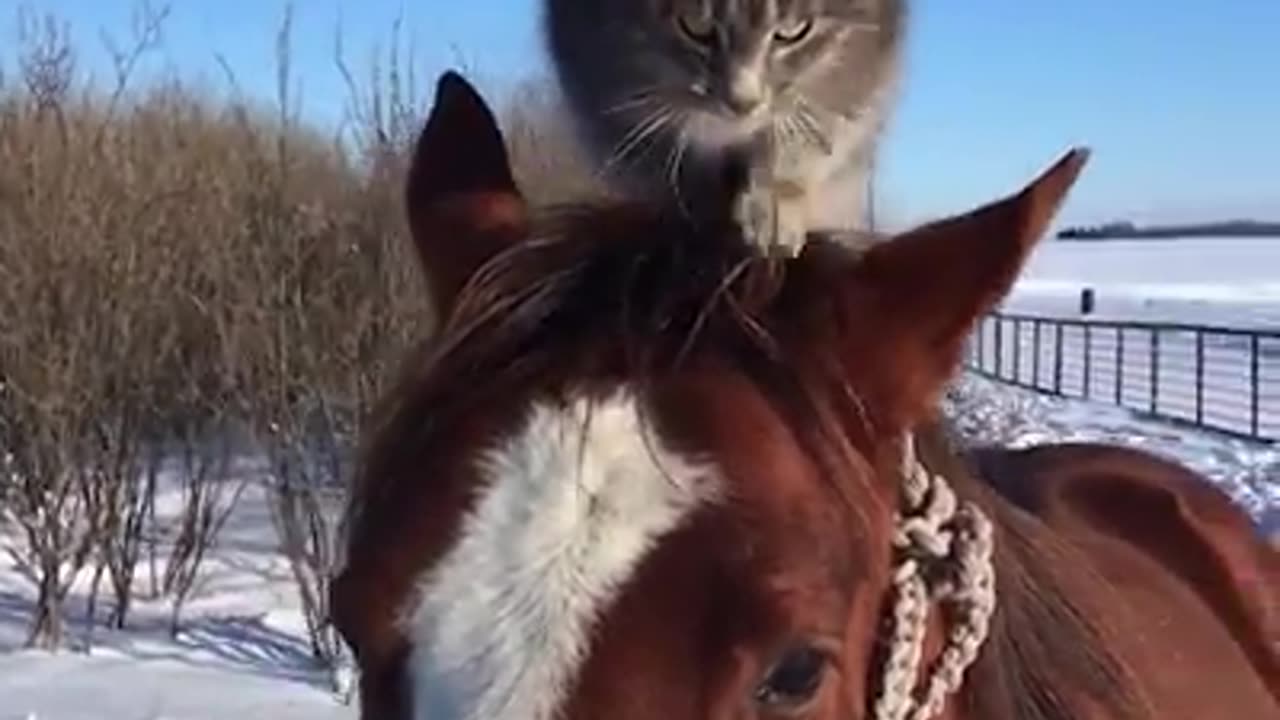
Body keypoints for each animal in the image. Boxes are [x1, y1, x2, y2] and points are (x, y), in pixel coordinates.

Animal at [545, 0, 906, 256]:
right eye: (694, 27)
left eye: (794, 32)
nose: (742, 103)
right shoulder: (599, 70)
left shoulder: (857, 65)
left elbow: (813, 122)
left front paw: (774, 199)